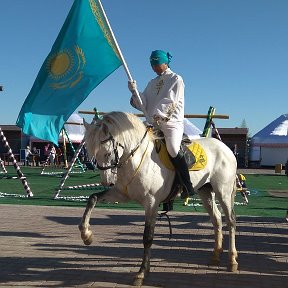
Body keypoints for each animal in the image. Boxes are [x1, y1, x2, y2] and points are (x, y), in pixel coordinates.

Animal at [77, 111, 237, 286]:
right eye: (92, 154)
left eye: (107, 152)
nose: (107, 182)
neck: (139, 159)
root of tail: (225, 148)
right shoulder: (121, 194)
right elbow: (92, 198)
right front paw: (86, 235)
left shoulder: (151, 203)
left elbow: (147, 237)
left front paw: (141, 273)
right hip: (205, 192)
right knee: (217, 219)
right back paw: (216, 255)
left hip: (223, 192)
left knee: (230, 221)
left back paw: (232, 261)